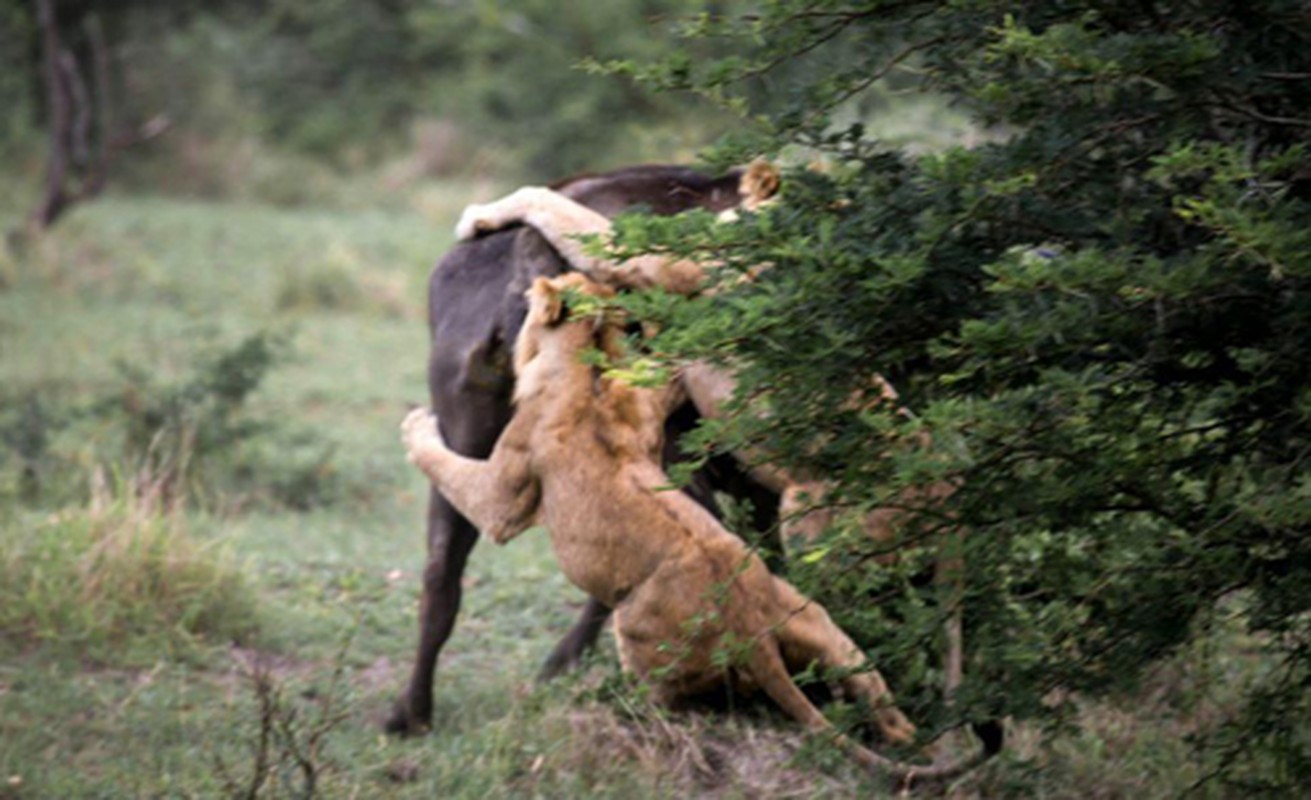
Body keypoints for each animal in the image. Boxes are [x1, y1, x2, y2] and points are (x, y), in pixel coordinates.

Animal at [398, 274, 985, 776]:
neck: (585, 365)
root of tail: (753, 633)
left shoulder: (505, 493)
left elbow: (450, 468)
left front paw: (415, 423)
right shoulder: (649, 399)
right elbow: (665, 371)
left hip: (638, 627)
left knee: (665, 704)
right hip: (821, 625)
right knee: (886, 708)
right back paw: (917, 740)